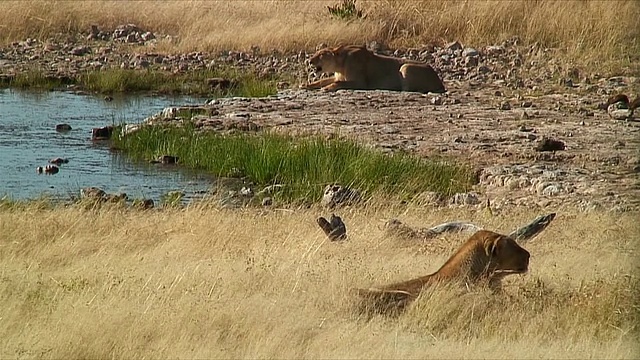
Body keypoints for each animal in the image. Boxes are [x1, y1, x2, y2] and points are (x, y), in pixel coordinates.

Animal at [302, 44, 444, 93]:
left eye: (321, 55)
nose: (309, 61)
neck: (339, 65)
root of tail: (439, 81)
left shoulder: (361, 83)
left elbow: (339, 83)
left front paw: (326, 88)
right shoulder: (337, 75)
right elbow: (321, 80)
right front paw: (305, 85)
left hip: (405, 66)